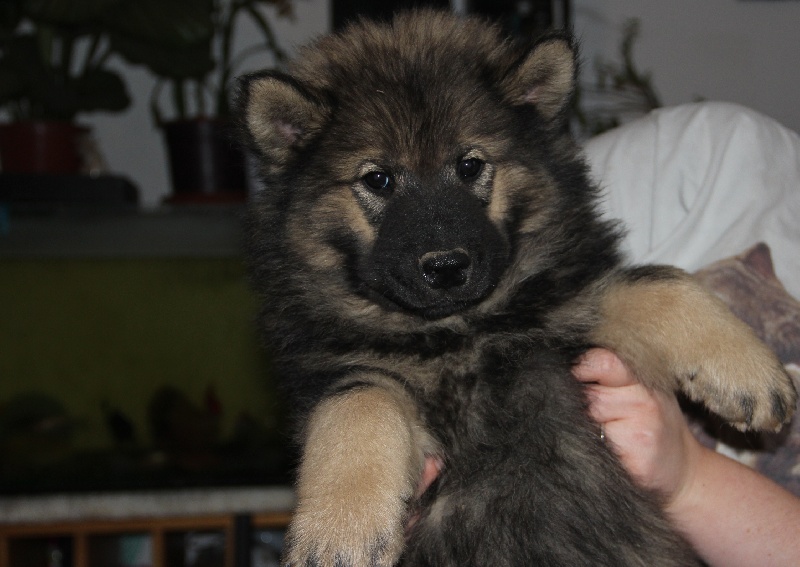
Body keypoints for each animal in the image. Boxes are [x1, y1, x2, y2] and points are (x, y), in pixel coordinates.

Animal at [236, 10, 796, 566]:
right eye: (378, 180)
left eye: (470, 165)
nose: (446, 267)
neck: (459, 336)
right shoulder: (342, 370)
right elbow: (356, 404)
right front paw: (338, 532)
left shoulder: (566, 305)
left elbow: (654, 281)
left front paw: (748, 372)